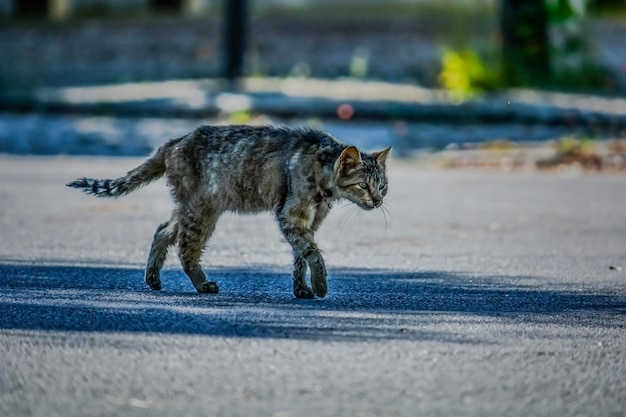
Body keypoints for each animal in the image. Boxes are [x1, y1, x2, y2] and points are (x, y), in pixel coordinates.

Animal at [68, 125, 390, 298]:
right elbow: (313, 253)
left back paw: (153, 279)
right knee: (186, 249)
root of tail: (174, 141)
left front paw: (302, 289)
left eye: (383, 186)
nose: (377, 201)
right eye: (363, 185)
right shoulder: (290, 216)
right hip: (201, 210)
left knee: (163, 230)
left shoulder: (307, 222)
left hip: (194, 207)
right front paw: (320, 285)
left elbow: (300, 256)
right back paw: (202, 284)